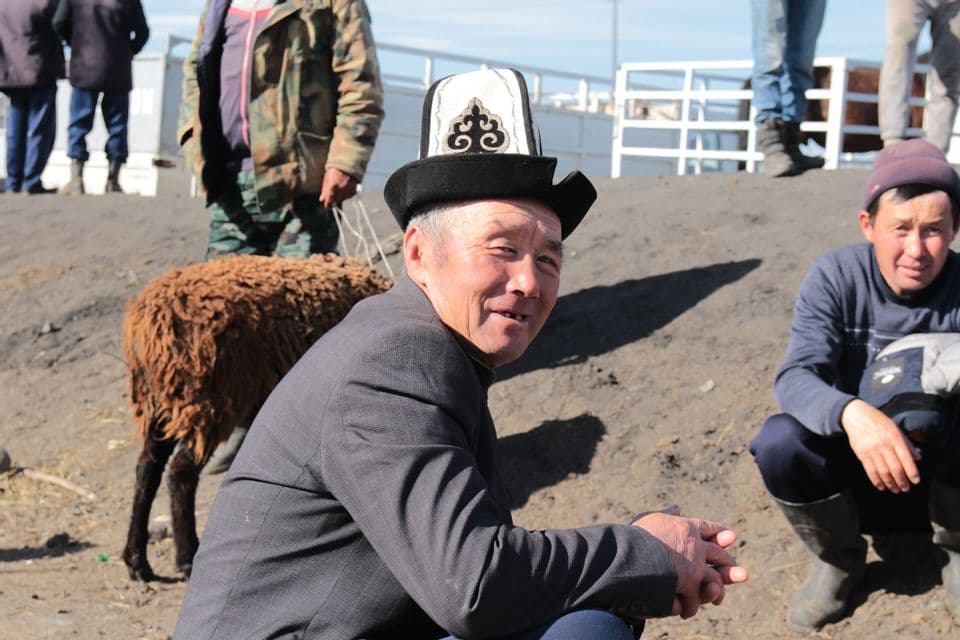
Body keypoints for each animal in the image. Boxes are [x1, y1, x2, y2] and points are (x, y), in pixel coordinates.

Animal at [120, 253, 392, 582]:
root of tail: (150, 322)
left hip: (161, 403)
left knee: (146, 470)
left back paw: (137, 562)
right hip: (206, 401)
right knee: (180, 472)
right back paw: (186, 558)